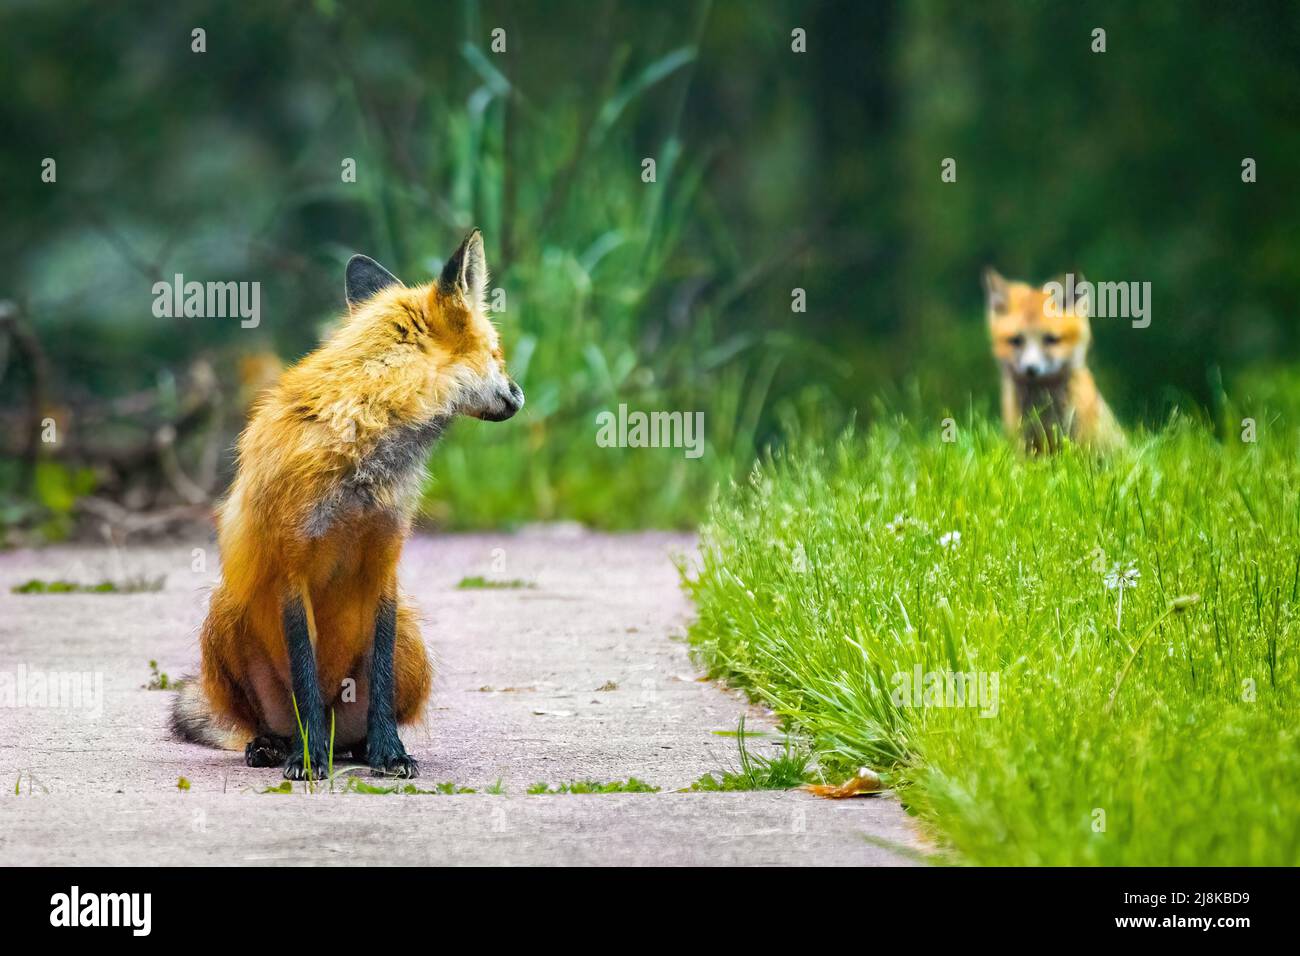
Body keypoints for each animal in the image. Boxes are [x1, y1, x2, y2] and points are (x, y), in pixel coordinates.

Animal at [172, 230, 523, 779]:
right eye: (495, 352)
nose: (518, 393)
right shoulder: (292, 568)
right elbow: (304, 674)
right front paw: (308, 760)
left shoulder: (385, 562)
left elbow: (378, 679)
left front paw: (389, 753)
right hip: (225, 611)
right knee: (272, 720)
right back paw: (281, 746)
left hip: (411, 636)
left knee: (360, 716)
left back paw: (356, 749)